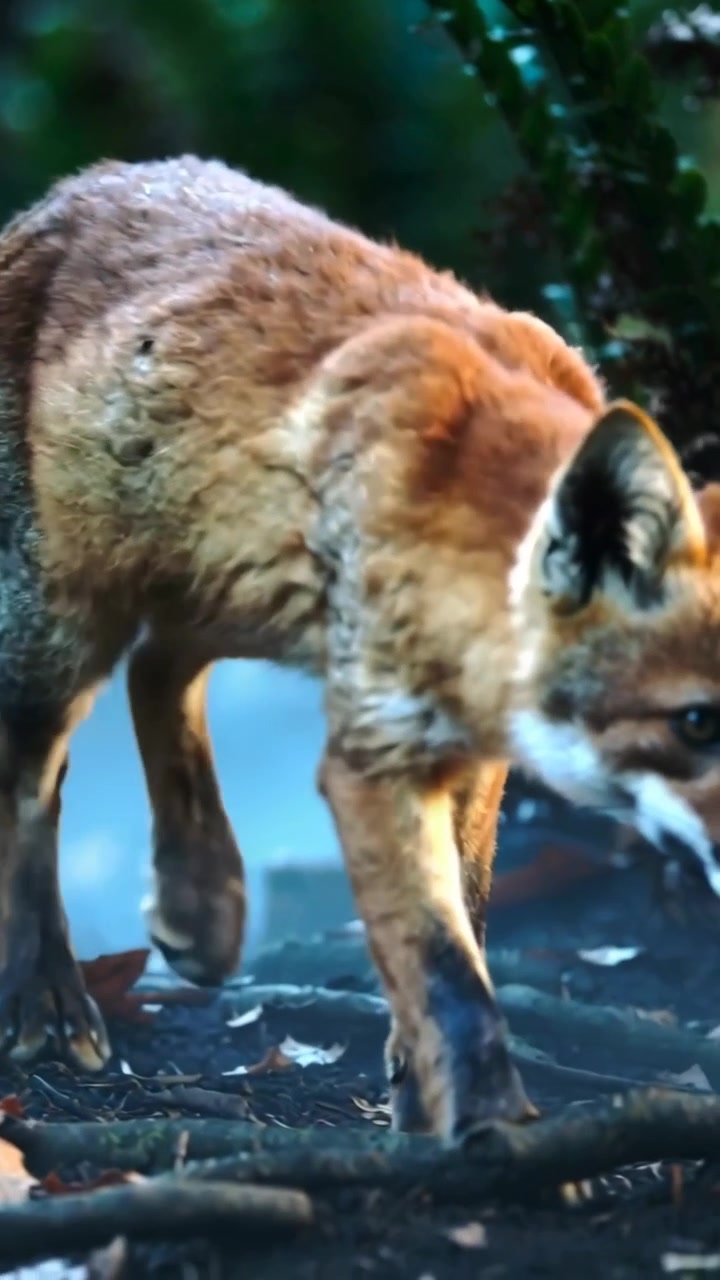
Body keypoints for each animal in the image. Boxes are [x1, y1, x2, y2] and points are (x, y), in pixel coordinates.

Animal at [1, 154, 720, 1144]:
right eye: (695, 724)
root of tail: (84, 182)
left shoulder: (472, 750)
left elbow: (466, 919)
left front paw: (420, 1090)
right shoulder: (372, 755)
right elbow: (448, 973)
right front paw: (491, 1132)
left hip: (248, 588)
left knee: (161, 670)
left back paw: (202, 900)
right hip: (67, 626)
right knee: (36, 782)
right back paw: (50, 998)